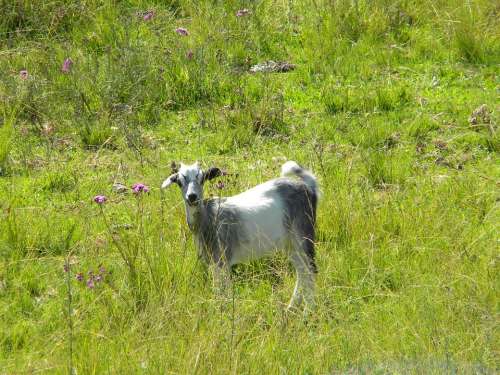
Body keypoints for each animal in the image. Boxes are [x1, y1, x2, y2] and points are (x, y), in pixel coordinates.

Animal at [163, 162, 320, 312]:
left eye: (202, 179)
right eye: (179, 182)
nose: (192, 197)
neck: (208, 218)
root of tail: (308, 185)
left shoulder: (222, 260)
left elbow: (223, 290)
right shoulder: (213, 262)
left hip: (303, 233)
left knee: (310, 269)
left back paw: (308, 311)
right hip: (290, 243)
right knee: (302, 271)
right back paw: (291, 308)